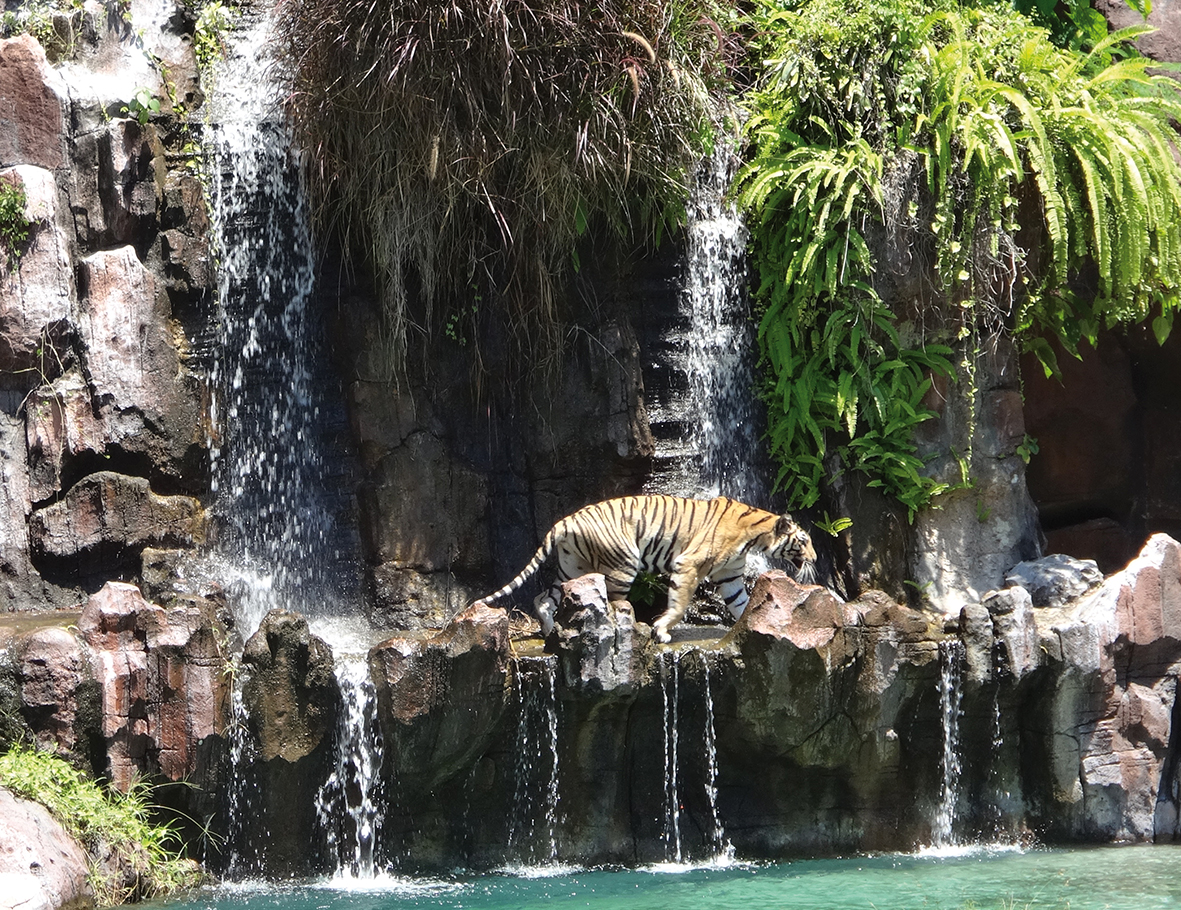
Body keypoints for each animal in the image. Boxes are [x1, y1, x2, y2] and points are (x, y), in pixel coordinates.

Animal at [474, 495, 817, 642]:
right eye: (803, 541)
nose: (814, 559)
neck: (755, 535)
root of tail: (564, 521)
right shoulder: (688, 564)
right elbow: (679, 604)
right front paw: (662, 630)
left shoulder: (730, 575)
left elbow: (741, 603)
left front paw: (749, 623)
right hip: (623, 564)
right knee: (614, 603)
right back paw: (629, 628)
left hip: (572, 568)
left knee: (543, 598)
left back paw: (548, 631)